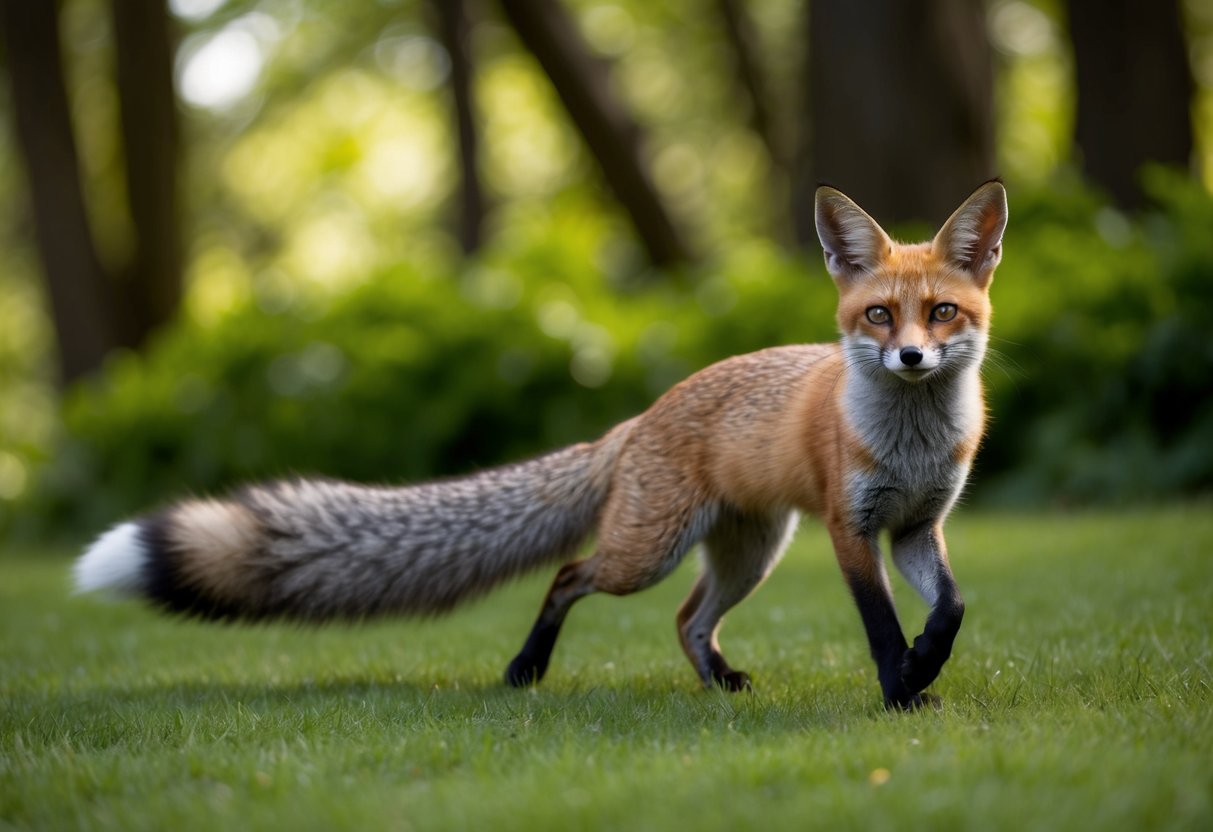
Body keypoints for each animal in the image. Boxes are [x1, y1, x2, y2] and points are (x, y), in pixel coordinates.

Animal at [74, 180, 1007, 709]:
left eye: (942, 313)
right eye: (878, 315)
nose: (911, 357)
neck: (913, 444)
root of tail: (635, 421)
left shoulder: (914, 527)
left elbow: (953, 607)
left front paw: (926, 665)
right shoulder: (853, 530)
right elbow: (881, 625)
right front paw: (901, 690)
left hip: (747, 554)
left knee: (686, 621)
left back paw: (716, 685)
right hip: (646, 552)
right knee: (569, 576)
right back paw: (527, 667)